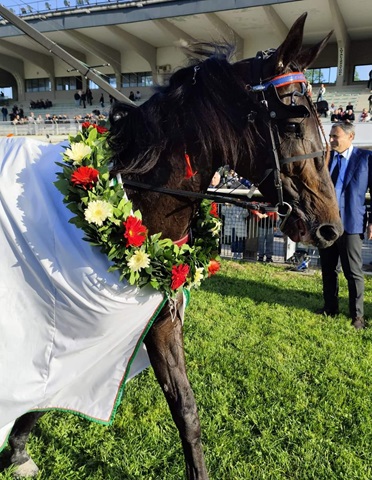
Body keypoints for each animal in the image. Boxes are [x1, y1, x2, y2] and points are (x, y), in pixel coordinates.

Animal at [0, 12, 342, 480]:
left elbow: (185, 408)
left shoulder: (159, 319)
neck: (136, 196)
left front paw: (18, 446)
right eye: (293, 122)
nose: (330, 228)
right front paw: (17, 445)